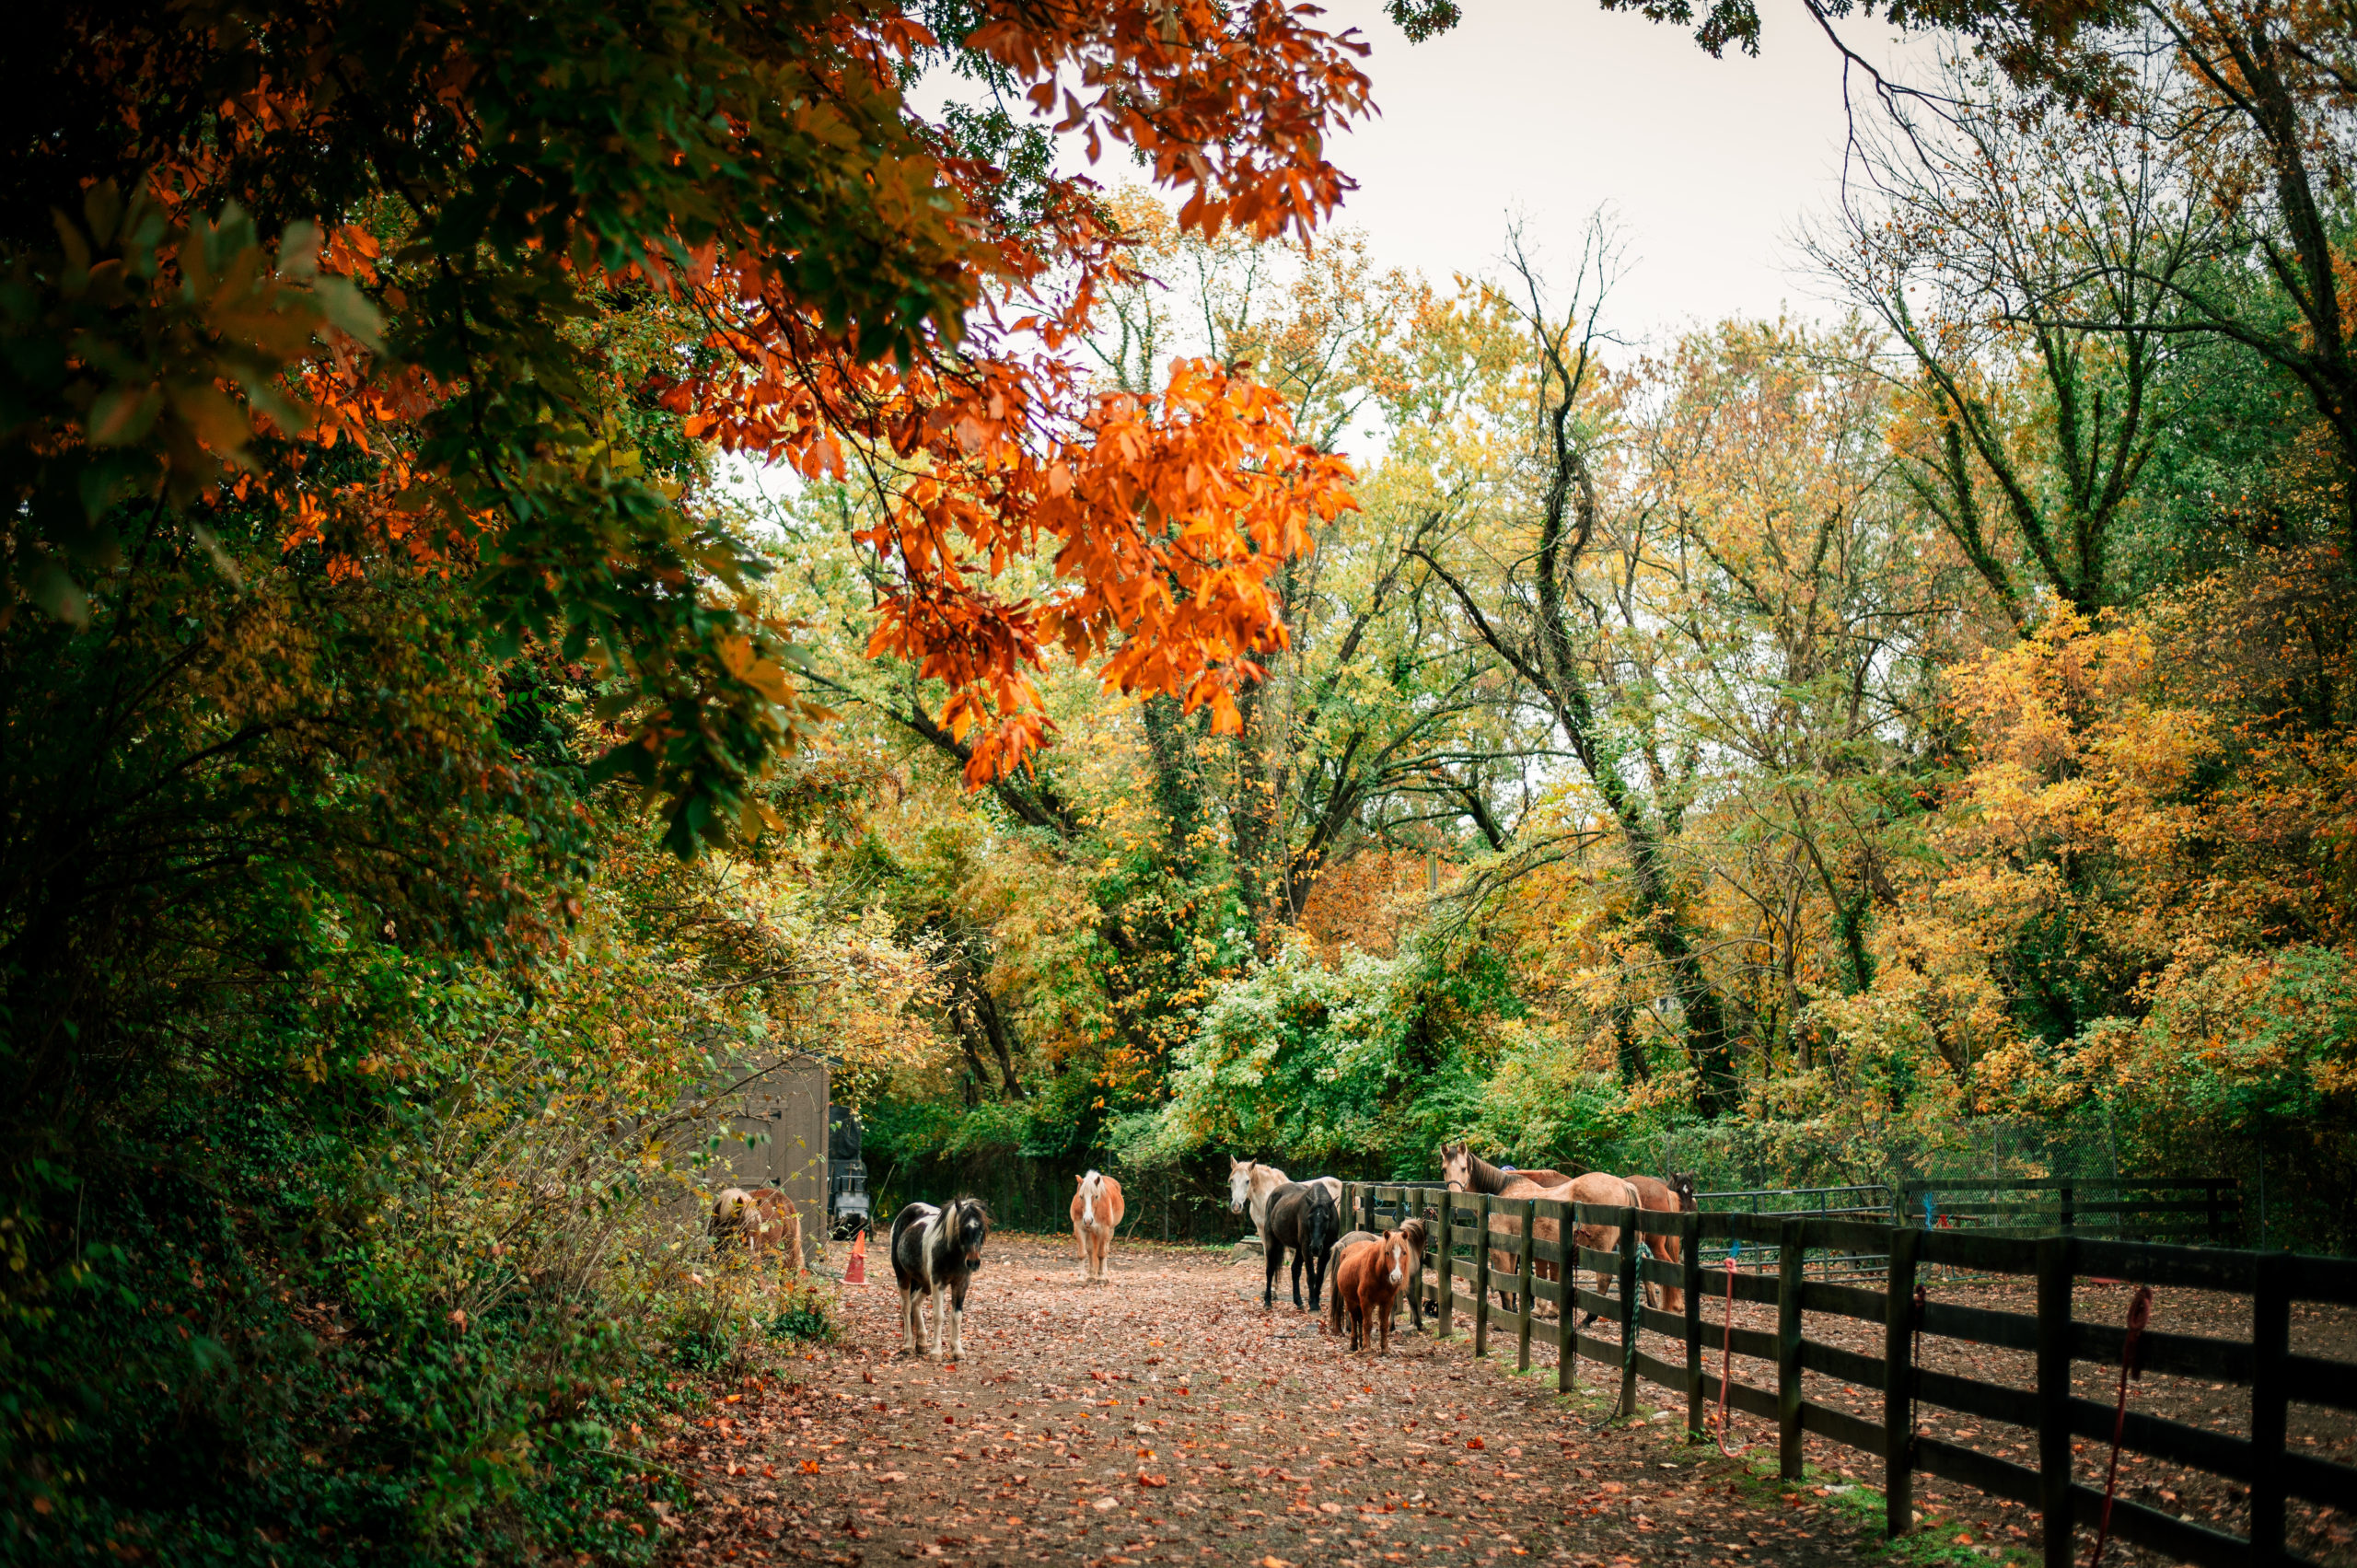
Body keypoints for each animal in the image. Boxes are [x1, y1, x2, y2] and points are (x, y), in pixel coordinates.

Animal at [886, 1197, 990, 1358]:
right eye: (962, 1228)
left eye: (981, 1229)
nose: (973, 1262)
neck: (952, 1254)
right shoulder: (937, 1284)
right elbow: (938, 1316)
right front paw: (936, 1352)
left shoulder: (961, 1284)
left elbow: (957, 1316)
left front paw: (957, 1350)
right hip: (903, 1276)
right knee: (906, 1306)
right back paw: (908, 1344)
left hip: (925, 1282)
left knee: (915, 1302)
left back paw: (921, 1343)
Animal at [1079, 1159, 1131, 1283]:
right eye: (1081, 1196)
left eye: (1096, 1196)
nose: (1088, 1220)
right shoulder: (1079, 1227)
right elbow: (1083, 1253)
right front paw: (1082, 1277)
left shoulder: (1104, 1230)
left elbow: (1102, 1254)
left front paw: (1102, 1277)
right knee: (1091, 1251)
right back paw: (1092, 1275)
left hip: (1110, 1231)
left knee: (1105, 1250)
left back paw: (1104, 1274)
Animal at [1263, 1174, 1339, 1310]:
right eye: (1309, 1218)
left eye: (1326, 1218)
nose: (1315, 1248)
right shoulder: (1306, 1248)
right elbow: (1311, 1276)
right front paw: (1314, 1305)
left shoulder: (1325, 1250)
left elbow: (1319, 1277)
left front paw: (1315, 1301)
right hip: (1272, 1241)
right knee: (1270, 1269)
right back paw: (1267, 1301)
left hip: (1299, 1248)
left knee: (1295, 1270)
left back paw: (1298, 1301)